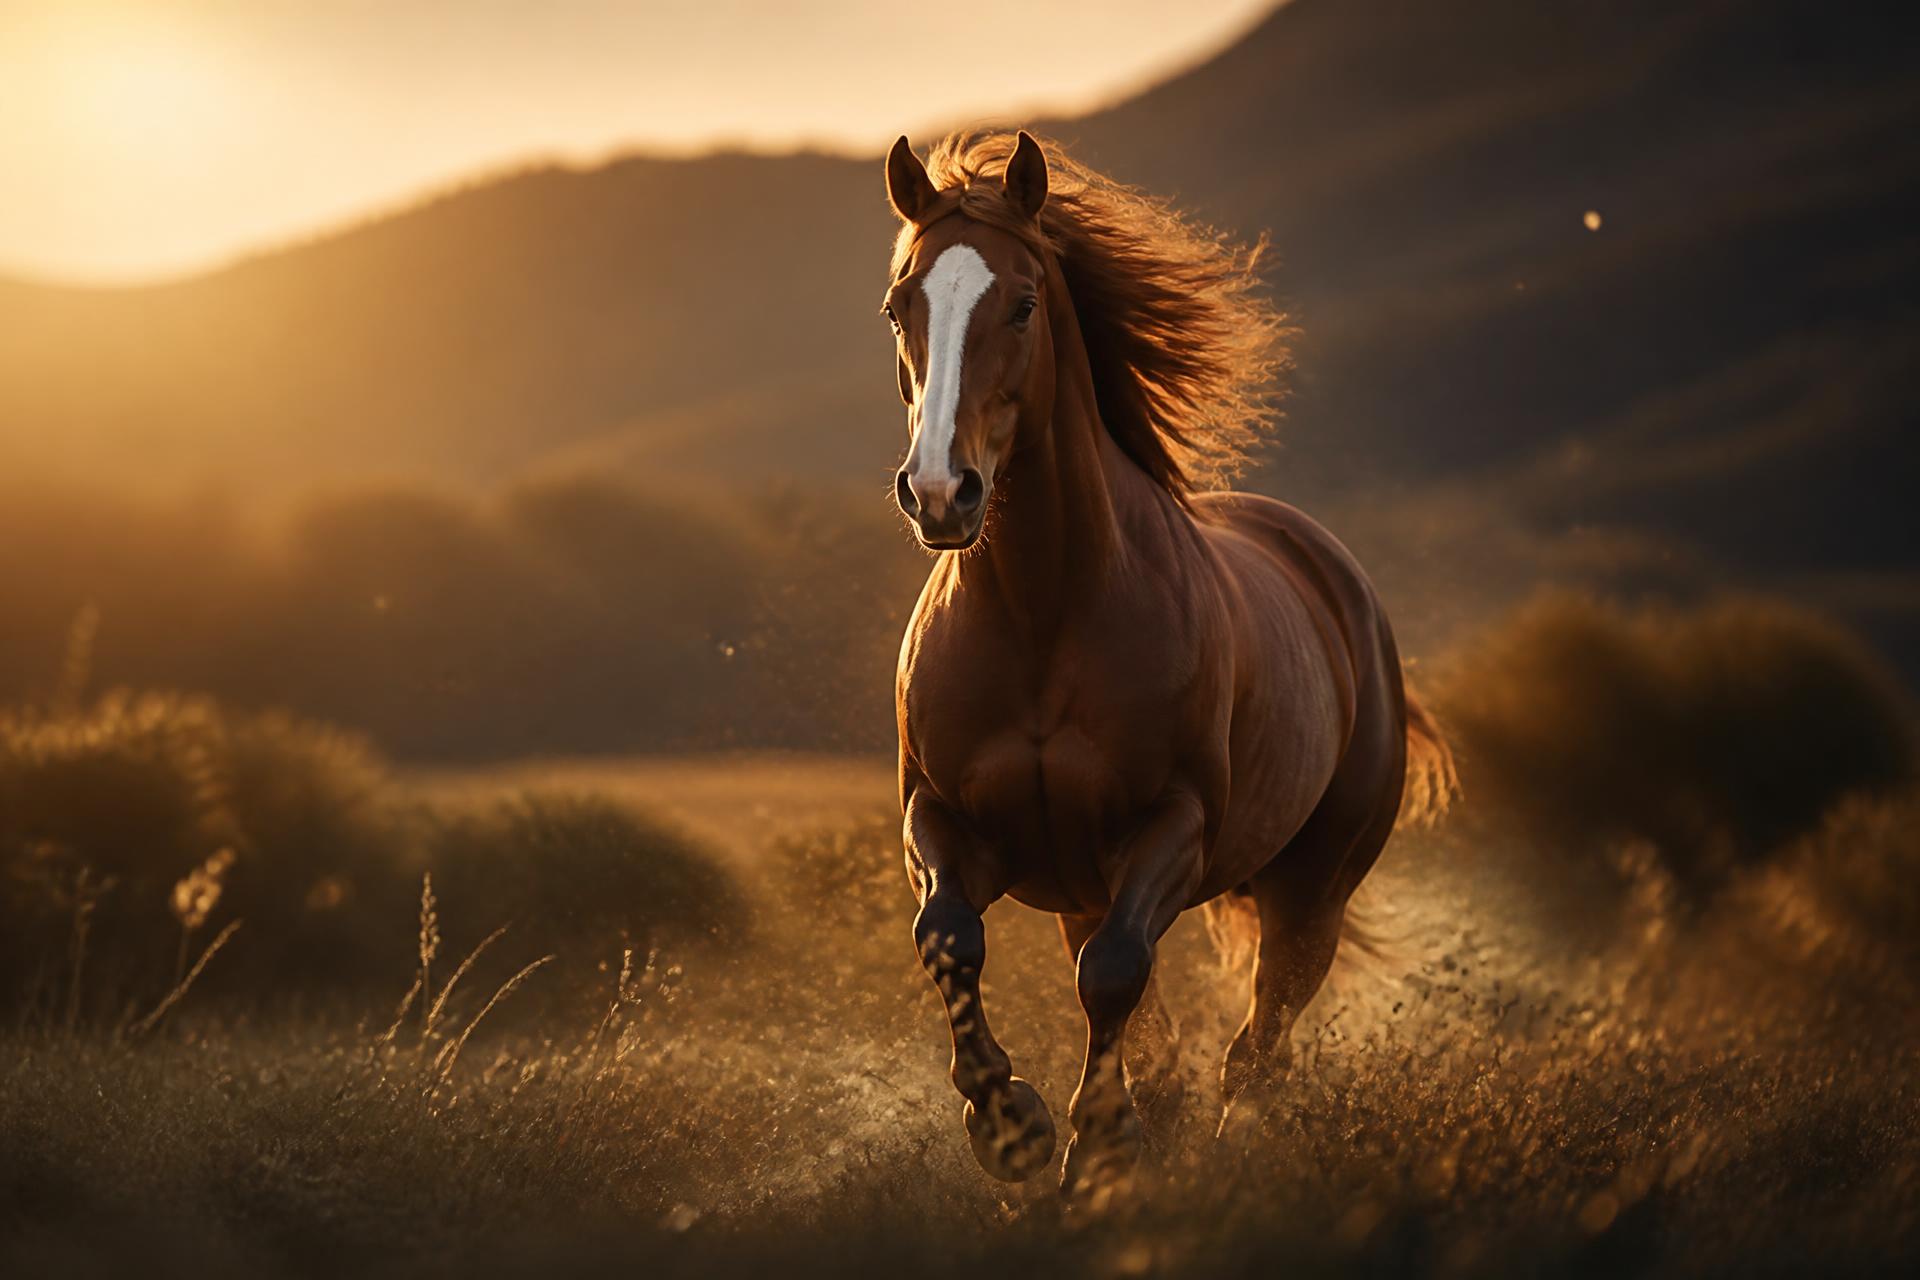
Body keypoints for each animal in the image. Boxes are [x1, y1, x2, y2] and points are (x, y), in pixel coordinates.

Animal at [882, 130, 1454, 1196]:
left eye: (1022, 304)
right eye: (902, 304)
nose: (941, 492)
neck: (1043, 615)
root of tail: (1337, 578)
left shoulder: (1170, 827)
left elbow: (1114, 974)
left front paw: (1098, 1143)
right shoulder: (941, 818)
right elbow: (950, 939)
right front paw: (1009, 1125)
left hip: (1312, 889)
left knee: (1259, 1043)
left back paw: (1230, 1153)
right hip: (1084, 887)